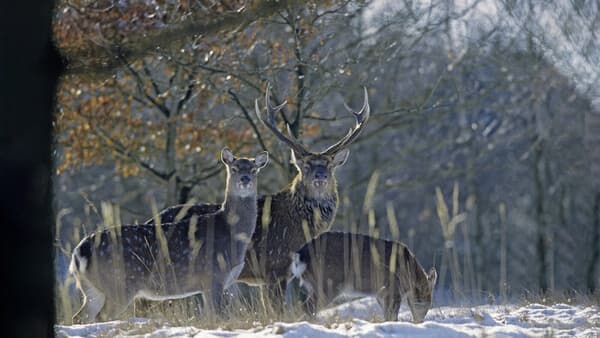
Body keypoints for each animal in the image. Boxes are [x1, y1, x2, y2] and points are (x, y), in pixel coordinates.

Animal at [69, 147, 268, 322]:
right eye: (234, 169)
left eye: (254, 170)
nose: (245, 179)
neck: (230, 233)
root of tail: (79, 252)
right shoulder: (213, 276)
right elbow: (218, 316)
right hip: (119, 283)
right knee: (101, 317)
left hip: (92, 288)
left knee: (80, 317)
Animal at [286, 232, 436, 322]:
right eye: (427, 302)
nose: (420, 321)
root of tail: (300, 255)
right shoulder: (393, 290)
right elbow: (392, 316)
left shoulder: (381, 294)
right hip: (327, 284)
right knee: (307, 307)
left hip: (314, 285)